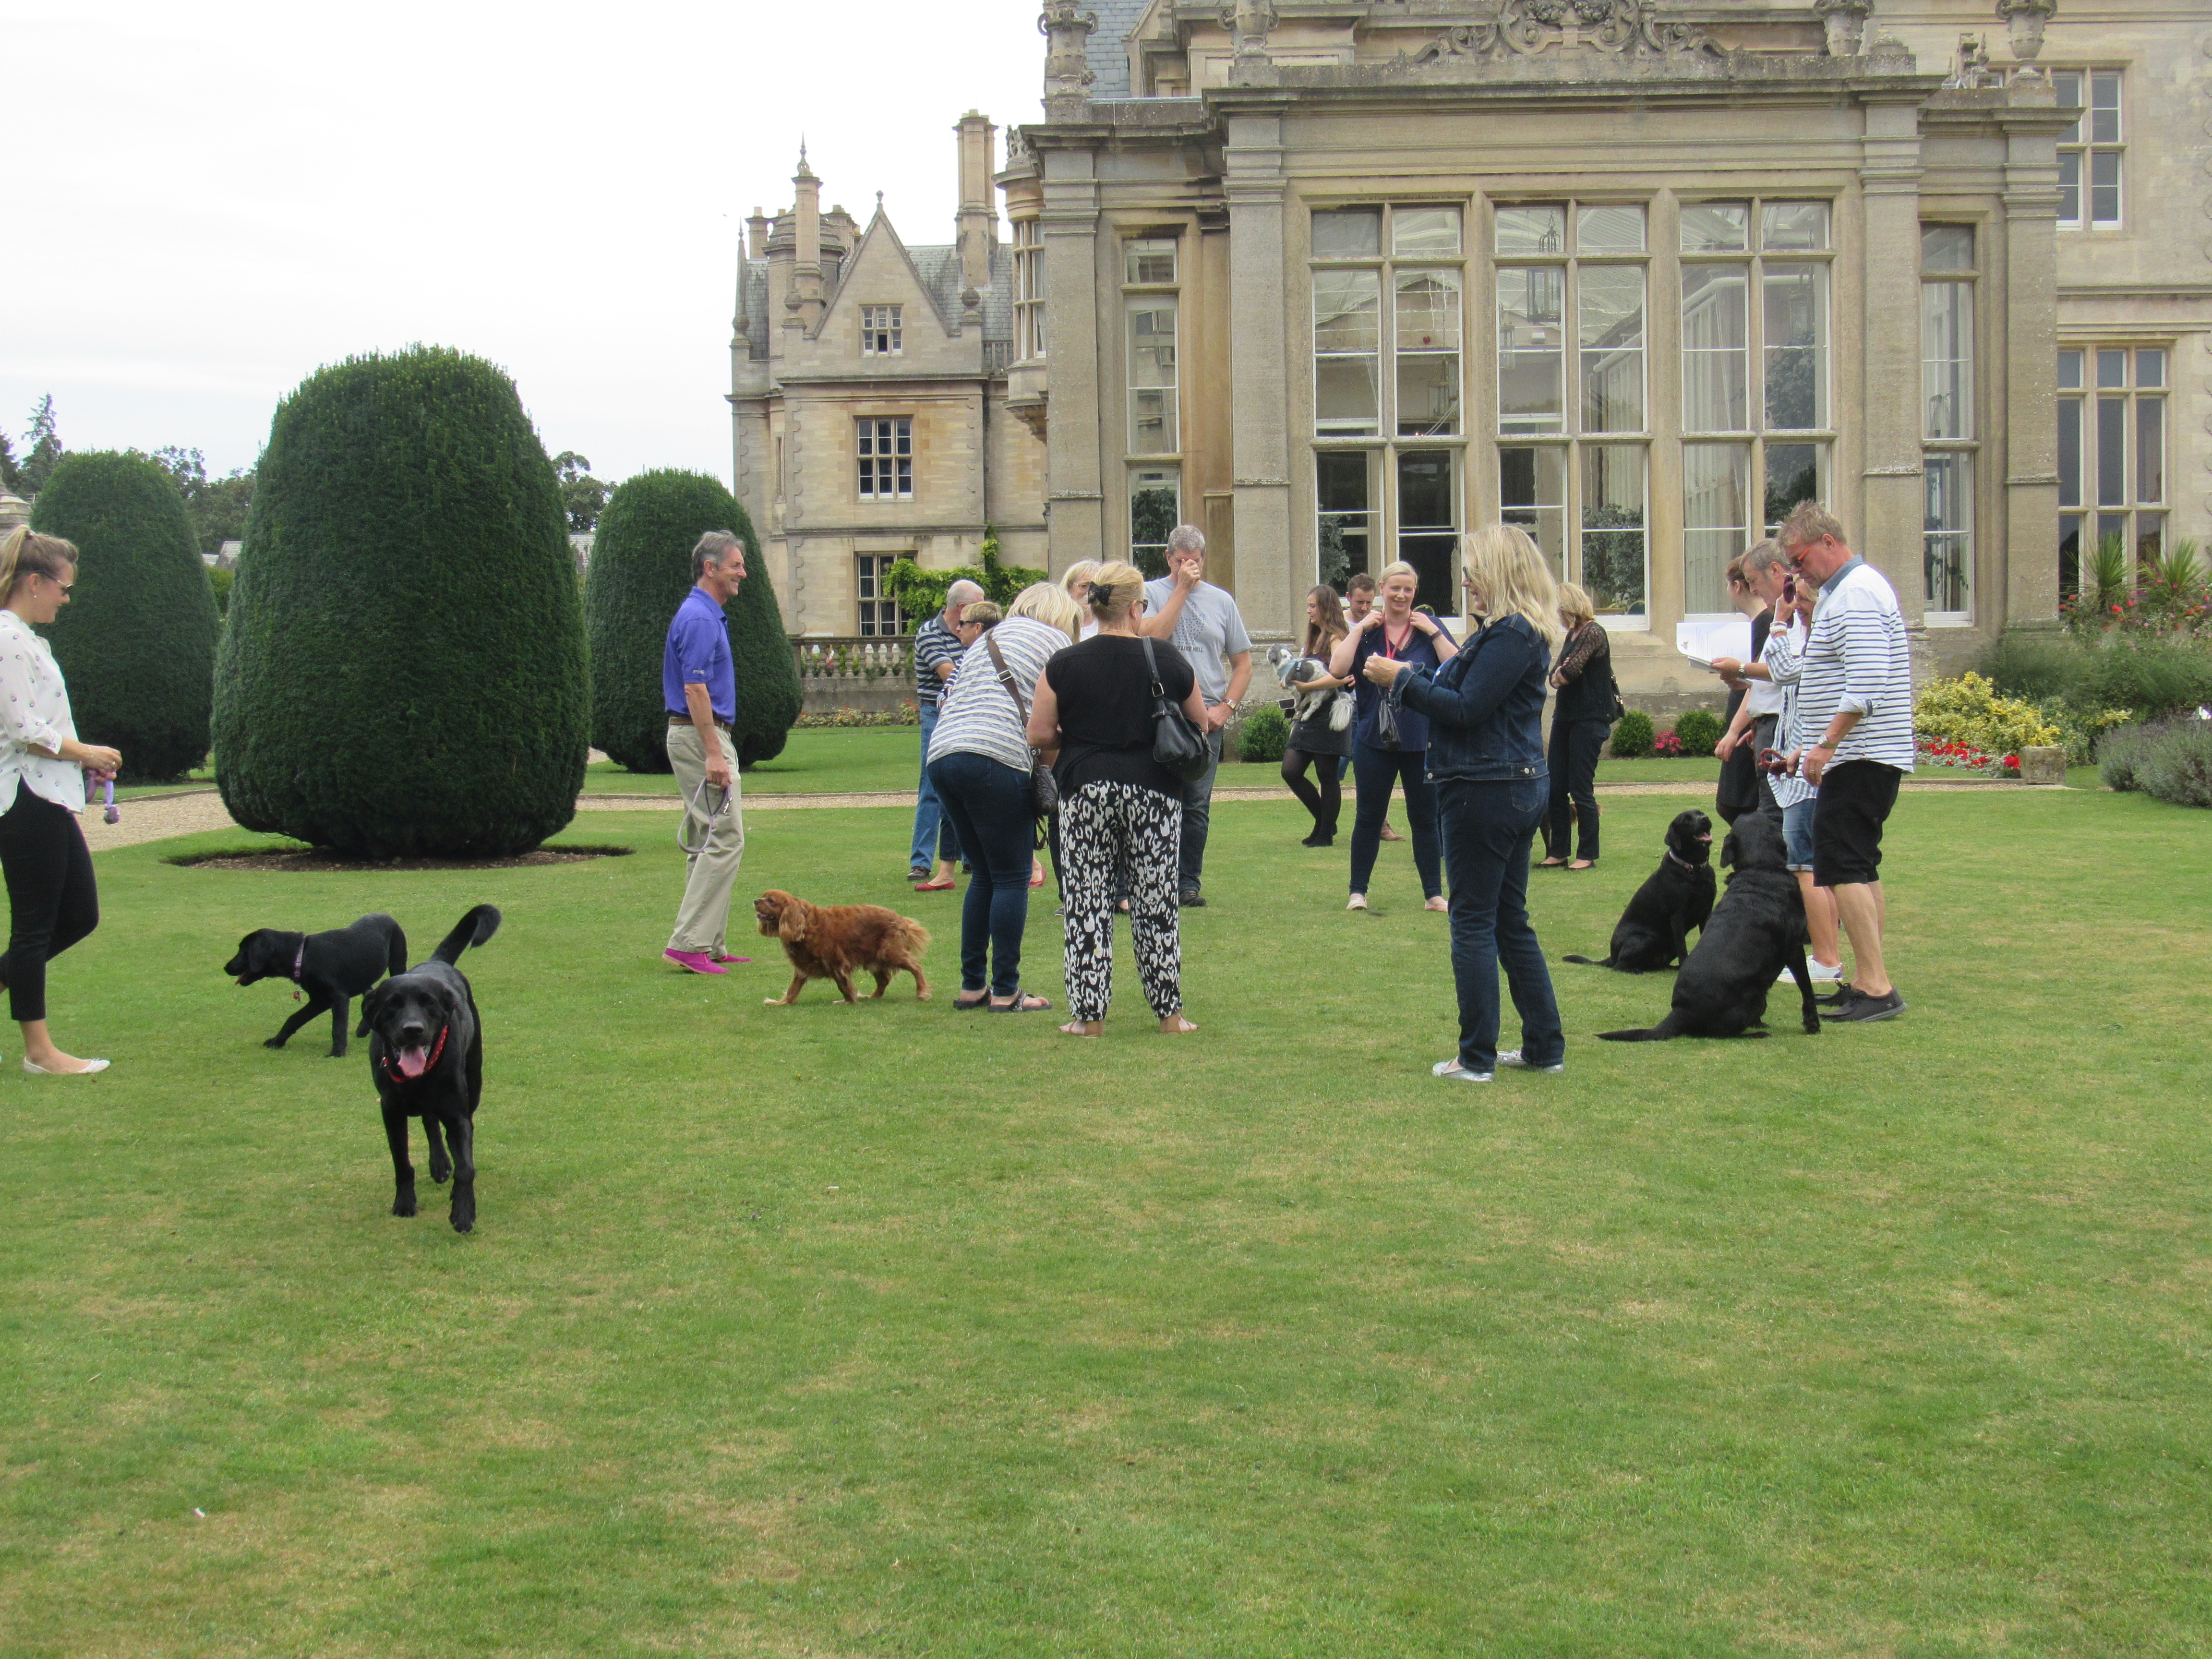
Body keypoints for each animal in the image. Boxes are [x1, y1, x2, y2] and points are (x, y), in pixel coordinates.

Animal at [228, 915, 411, 1057]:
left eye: (243, 951)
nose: (226, 967)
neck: (302, 956)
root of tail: (388, 916)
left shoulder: (338, 998)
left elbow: (338, 1028)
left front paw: (337, 1053)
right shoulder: (319, 1000)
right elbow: (294, 1019)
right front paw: (277, 1042)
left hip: (397, 963)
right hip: (362, 978)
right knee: (370, 993)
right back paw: (364, 1029)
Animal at [356, 911, 500, 1238]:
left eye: (429, 1003)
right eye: (392, 1005)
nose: (413, 1029)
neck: (417, 1079)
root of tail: (438, 962)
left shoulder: (457, 1114)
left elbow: (466, 1167)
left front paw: (463, 1214)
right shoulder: (391, 1111)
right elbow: (402, 1163)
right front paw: (405, 1204)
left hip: (474, 1082)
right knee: (430, 1121)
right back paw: (439, 1164)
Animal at [1566, 809, 1716, 973]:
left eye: (1700, 813)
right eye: (1686, 820)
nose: (1705, 819)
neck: (1694, 869)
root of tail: (1612, 956)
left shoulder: (1707, 912)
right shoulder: (1677, 916)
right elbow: (1683, 948)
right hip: (1641, 939)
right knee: (1619, 967)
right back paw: (1636, 970)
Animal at [1601, 814, 1822, 1044]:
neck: (1760, 868)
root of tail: (1681, 1012)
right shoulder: (1795, 947)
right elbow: (1807, 988)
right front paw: (1812, 1023)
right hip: (1757, 996)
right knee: (1726, 1034)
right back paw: (1758, 1032)